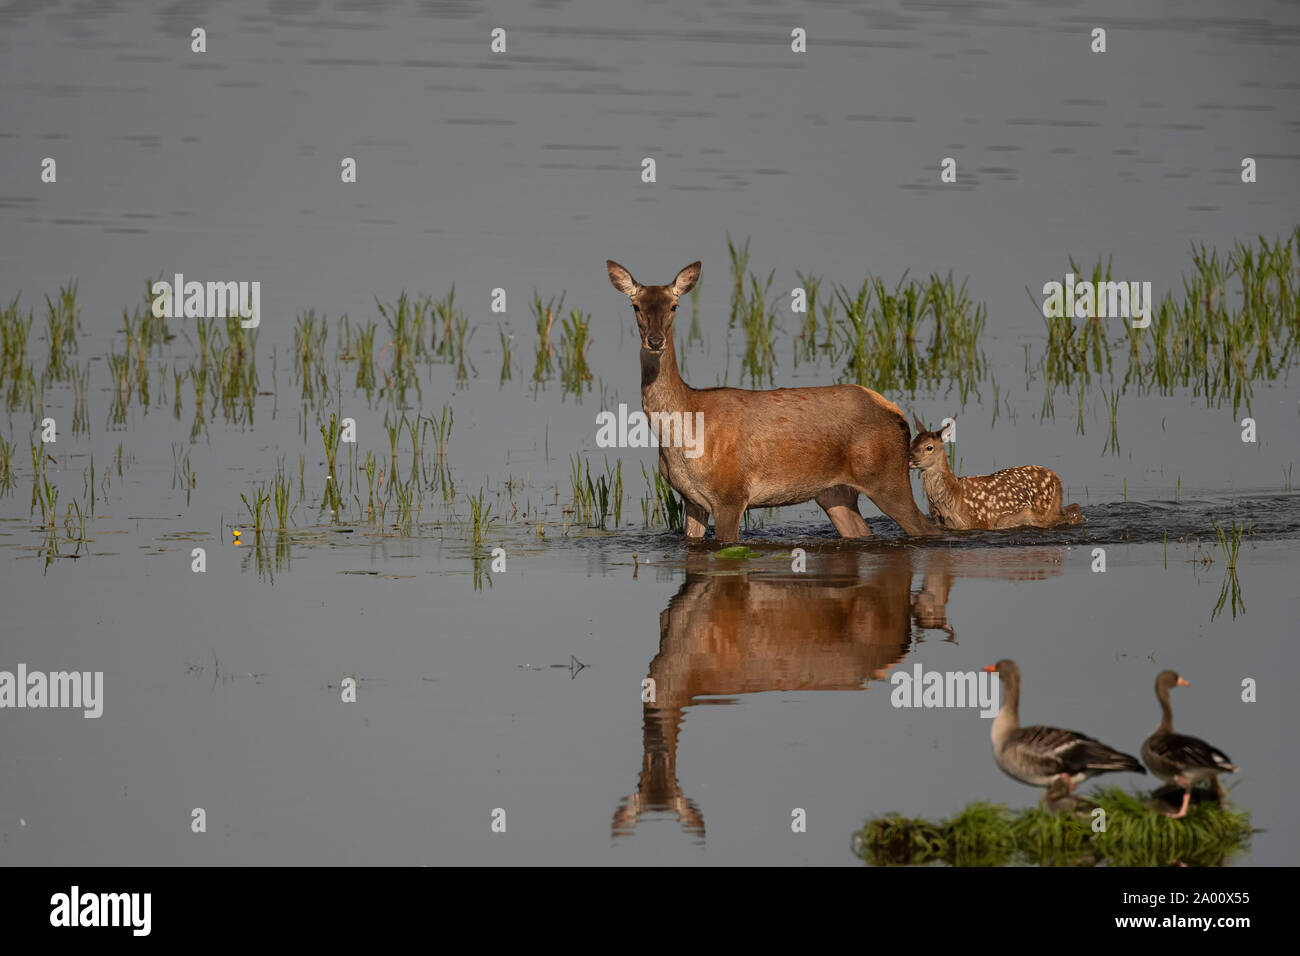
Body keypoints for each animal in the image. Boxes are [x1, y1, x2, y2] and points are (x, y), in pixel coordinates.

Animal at [606, 260, 936, 542]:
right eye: (636, 306)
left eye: (674, 305)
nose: (655, 340)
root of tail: (898, 414)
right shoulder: (692, 500)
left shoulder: (731, 495)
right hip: (834, 492)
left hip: (887, 476)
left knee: (927, 527)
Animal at [907, 417, 1084, 531]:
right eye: (911, 442)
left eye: (929, 447)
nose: (909, 458)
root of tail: (1056, 477)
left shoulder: (977, 522)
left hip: (1042, 513)